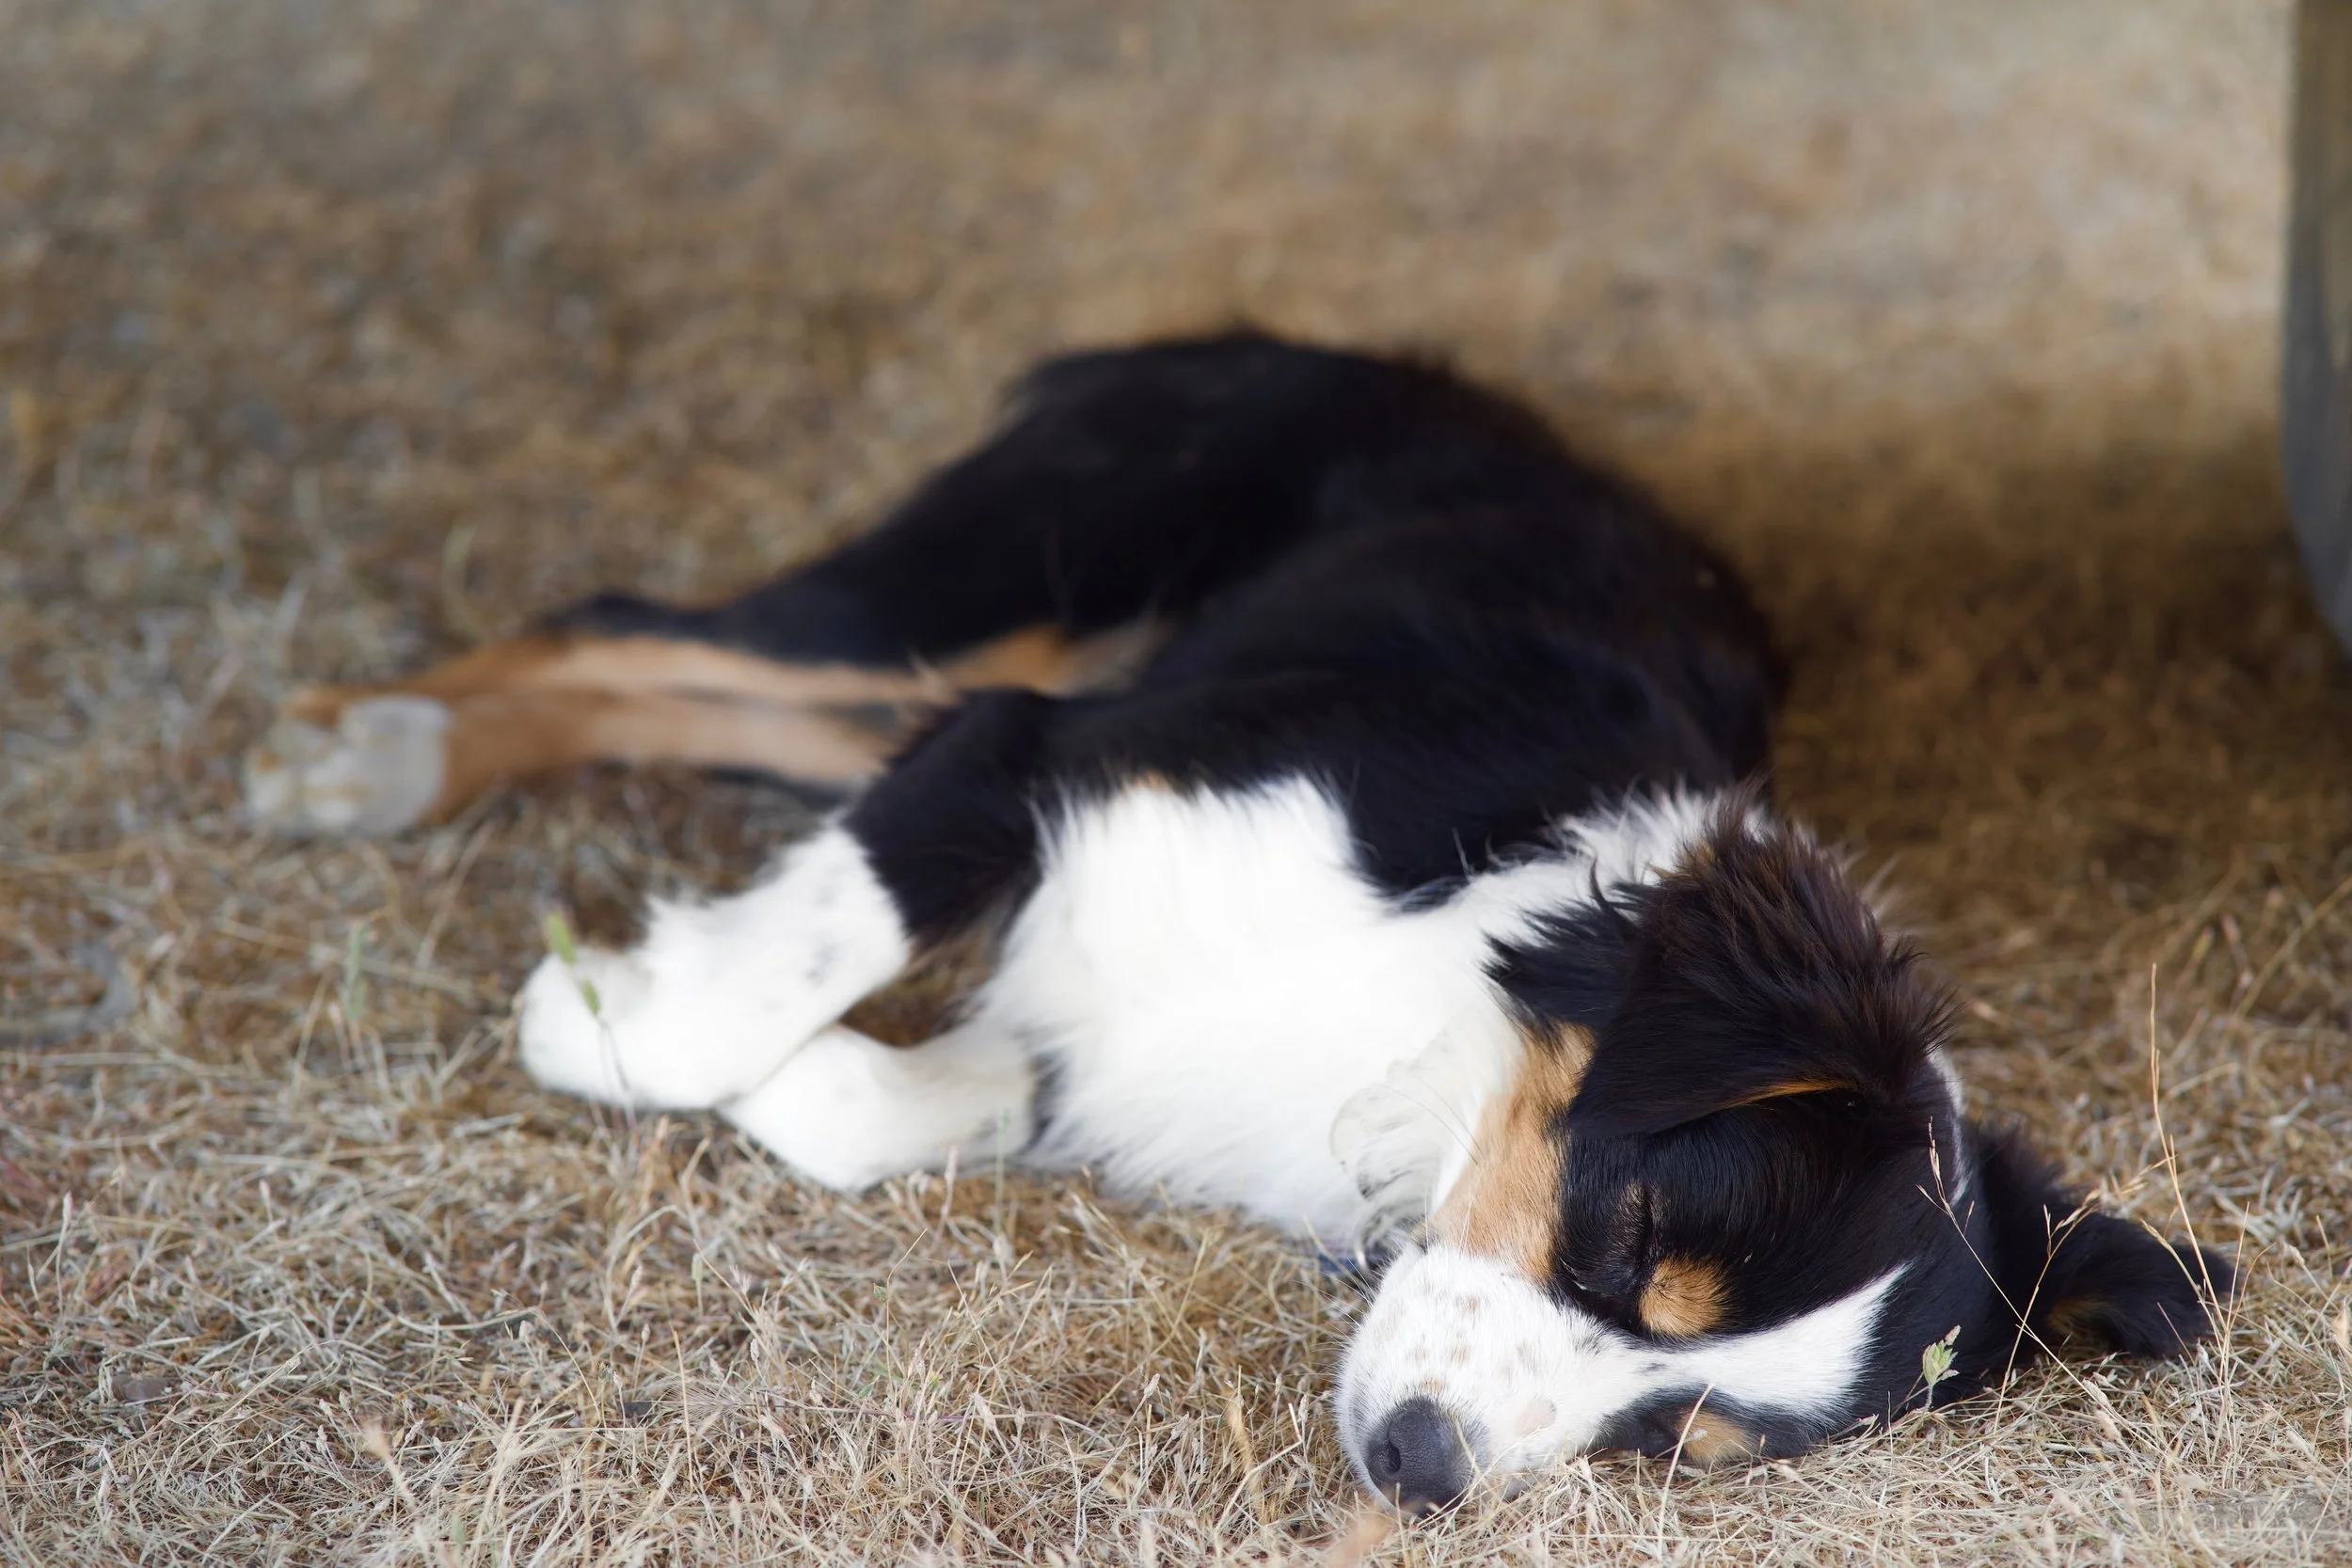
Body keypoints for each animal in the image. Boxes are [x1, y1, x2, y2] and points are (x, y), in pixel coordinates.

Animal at [245, 332, 2229, 1512]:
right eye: (1631, 1238)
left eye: (1679, 1432)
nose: (1421, 1465)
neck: (1412, 1028)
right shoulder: (1043, 749)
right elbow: (783, 967)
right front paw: (598, 1015)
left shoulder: (1091, 1028)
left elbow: (897, 1097)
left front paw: (768, 1069)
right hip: (980, 610)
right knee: (632, 620)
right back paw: (364, 757)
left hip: (935, 668)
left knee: (694, 686)